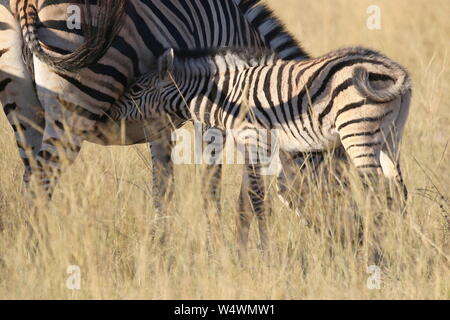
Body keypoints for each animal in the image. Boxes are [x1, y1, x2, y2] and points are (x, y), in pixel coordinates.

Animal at [2, 1, 312, 214]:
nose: (324, 236)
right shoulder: (215, 113)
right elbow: (219, 186)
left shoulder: (158, 120)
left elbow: (163, 188)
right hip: (75, 104)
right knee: (41, 186)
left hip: (23, 107)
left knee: (30, 180)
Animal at [110, 46, 414, 249]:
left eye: (136, 90)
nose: (109, 113)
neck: (224, 95)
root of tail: (392, 68)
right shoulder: (261, 148)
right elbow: (257, 198)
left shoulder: (252, 141)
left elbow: (258, 201)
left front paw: (266, 254)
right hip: (391, 136)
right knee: (397, 192)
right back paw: (401, 245)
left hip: (356, 131)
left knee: (376, 191)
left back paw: (375, 252)